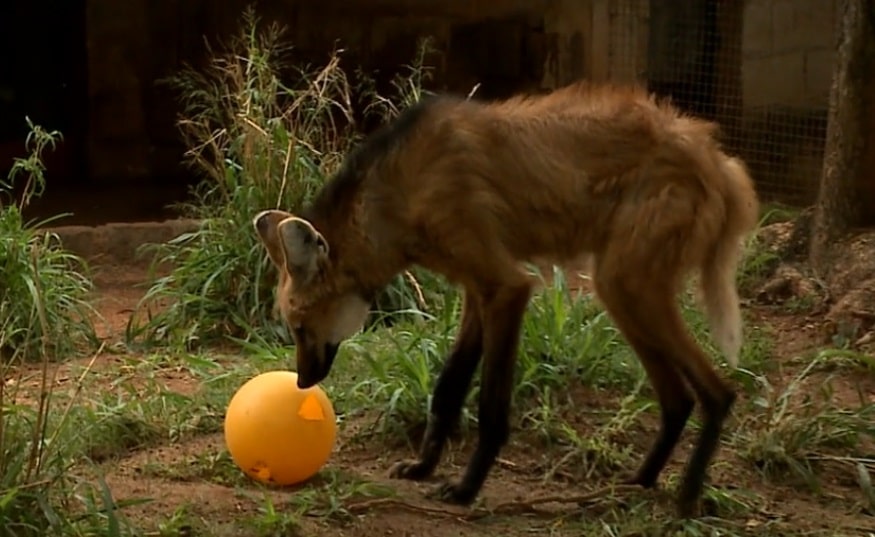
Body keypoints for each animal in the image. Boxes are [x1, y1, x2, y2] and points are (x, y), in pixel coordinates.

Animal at [252, 81, 760, 516]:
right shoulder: (478, 290)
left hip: (627, 284)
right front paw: (422, 467)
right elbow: (448, 387)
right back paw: (641, 481)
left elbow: (490, 406)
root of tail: (715, 155)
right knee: (678, 398)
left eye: (300, 328)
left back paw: (687, 496)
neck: (398, 200)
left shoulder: (507, 287)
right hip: (621, 292)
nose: (302, 381)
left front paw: (465, 489)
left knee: (718, 393)